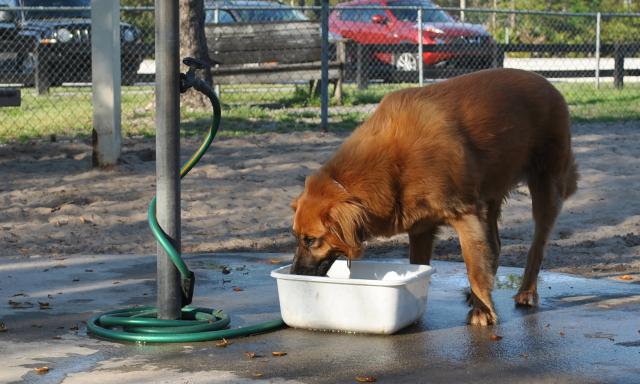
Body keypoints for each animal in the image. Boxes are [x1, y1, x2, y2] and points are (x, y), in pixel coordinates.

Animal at [292, 68, 576, 324]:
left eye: (311, 240)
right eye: (297, 237)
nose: (294, 272)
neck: (391, 163)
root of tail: (547, 83)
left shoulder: (465, 213)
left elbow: (473, 267)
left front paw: (483, 312)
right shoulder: (420, 227)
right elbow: (420, 264)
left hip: (545, 187)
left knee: (537, 246)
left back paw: (525, 292)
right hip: (490, 192)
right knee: (494, 244)